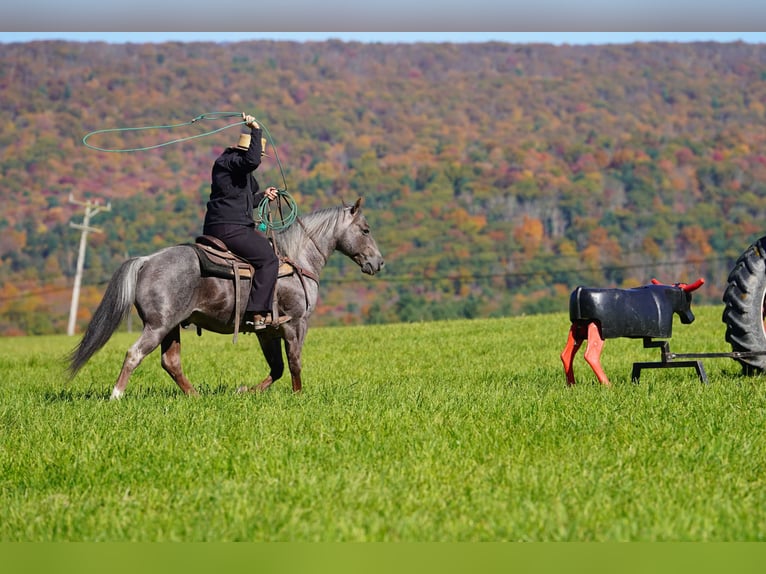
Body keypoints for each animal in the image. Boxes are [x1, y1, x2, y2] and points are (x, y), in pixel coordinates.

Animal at [67, 197, 385, 398]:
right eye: (366, 229)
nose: (378, 263)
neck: (296, 259)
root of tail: (146, 260)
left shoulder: (266, 331)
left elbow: (277, 368)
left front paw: (244, 391)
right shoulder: (296, 324)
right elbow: (294, 362)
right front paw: (299, 396)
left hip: (170, 327)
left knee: (171, 363)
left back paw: (195, 396)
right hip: (157, 326)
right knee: (134, 354)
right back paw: (116, 396)